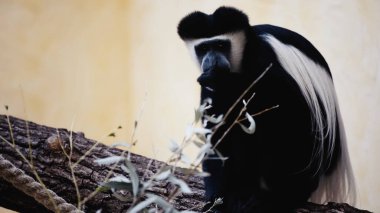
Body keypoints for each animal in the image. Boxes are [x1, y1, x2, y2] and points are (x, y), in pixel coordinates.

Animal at [178, 6, 356, 211]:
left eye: (221, 46)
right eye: (203, 48)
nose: (212, 60)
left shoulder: (264, 56)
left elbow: (287, 101)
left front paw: (224, 80)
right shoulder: (208, 90)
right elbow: (218, 134)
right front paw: (216, 200)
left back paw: (280, 196)